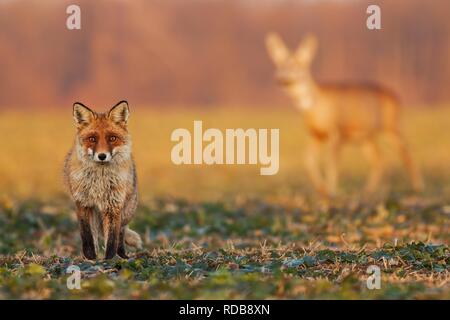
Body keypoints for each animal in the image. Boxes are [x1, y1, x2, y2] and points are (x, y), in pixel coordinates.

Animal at [64, 100, 142, 260]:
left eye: (112, 138)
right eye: (92, 139)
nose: (102, 156)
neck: (99, 182)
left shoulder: (113, 205)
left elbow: (112, 239)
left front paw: (109, 259)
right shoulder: (83, 204)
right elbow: (87, 237)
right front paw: (90, 258)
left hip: (126, 212)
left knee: (121, 233)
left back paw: (122, 255)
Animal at [266, 33, 424, 198]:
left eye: (298, 65)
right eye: (279, 65)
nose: (282, 78)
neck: (316, 106)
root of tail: (396, 96)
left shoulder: (337, 131)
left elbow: (332, 164)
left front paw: (331, 191)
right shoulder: (315, 135)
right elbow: (308, 161)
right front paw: (321, 189)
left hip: (392, 126)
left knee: (407, 154)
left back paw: (418, 187)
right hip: (366, 137)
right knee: (379, 160)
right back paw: (368, 190)